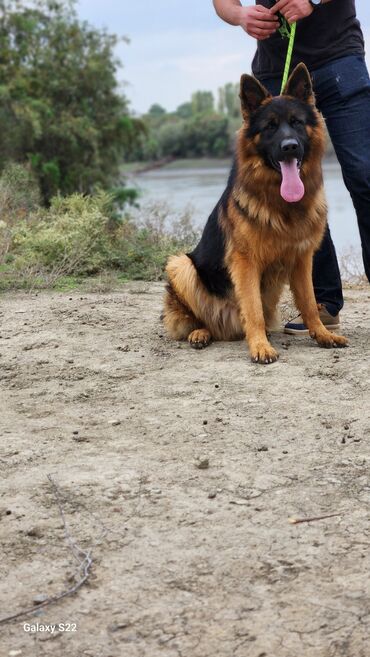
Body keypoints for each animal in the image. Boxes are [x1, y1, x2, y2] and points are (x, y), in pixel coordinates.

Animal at [162, 63, 346, 362]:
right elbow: (253, 308)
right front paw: (260, 346)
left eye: (296, 122)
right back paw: (200, 333)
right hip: (181, 265)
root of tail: (227, 330)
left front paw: (322, 334)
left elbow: (308, 303)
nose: (290, 146)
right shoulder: (245, 263)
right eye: (270, 127)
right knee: (198, 318)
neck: (282, 204)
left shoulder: (301, 259)